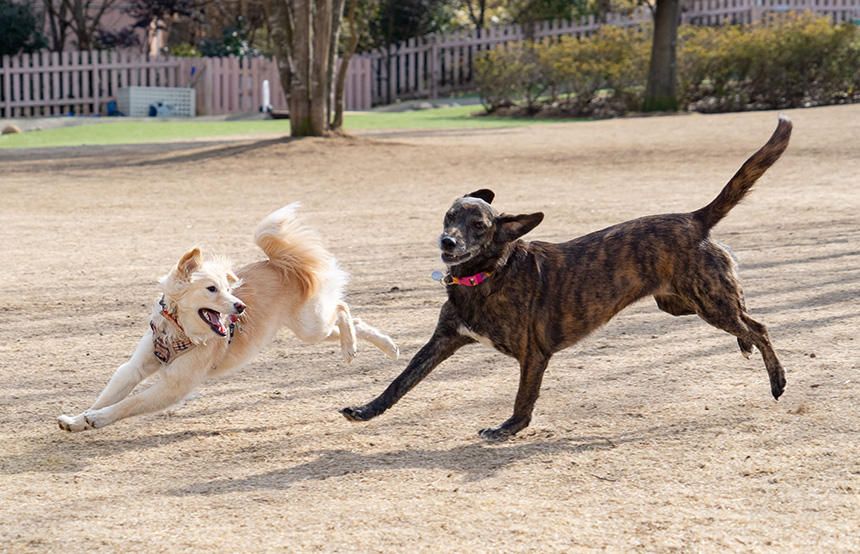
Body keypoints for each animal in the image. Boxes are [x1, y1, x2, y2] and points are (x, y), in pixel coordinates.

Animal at [57, 204, 400, 432]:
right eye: (212, 289)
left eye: (227, 288)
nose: (241, 306)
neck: (179, 331)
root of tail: (282, 263)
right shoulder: (136, 367)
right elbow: (108, 395)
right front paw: (77, 419)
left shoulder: (174, 385)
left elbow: (129, 403)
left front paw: (97, 419)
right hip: (309, 328)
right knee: (353, 320)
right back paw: (384, 346)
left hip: (310, 326)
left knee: (343, 310)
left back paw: (351, 347)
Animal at [340, 116, 792, 440]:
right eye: (450, 215)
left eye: (480, 225)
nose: (447, 241)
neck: (488, 274)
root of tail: (694, 218)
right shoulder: (442, 342)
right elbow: (401, 381)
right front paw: (365, 410)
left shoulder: (533, 355)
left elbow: (523, 400)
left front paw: (506, 430)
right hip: (683, 304)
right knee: (746, 317)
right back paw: (747, 347)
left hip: (707, 302)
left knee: (759, 327)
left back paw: (777, 380)